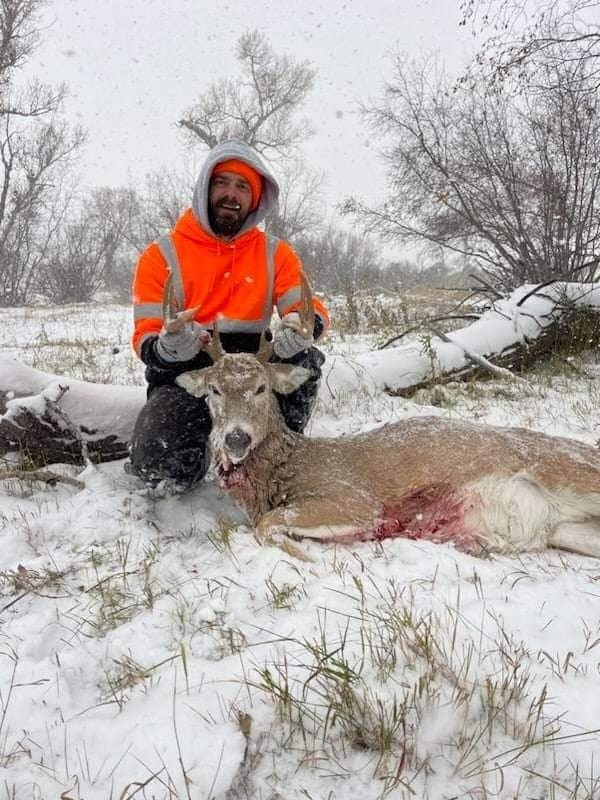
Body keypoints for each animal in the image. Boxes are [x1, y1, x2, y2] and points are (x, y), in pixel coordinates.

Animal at [165, 275, 600, 559]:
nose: (235, 438)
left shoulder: (353, 498)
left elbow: (267, 525)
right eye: (213, 389)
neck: (285, 467)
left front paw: (308, 556)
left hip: (567, 470)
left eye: (261, 388)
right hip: (564, 528)